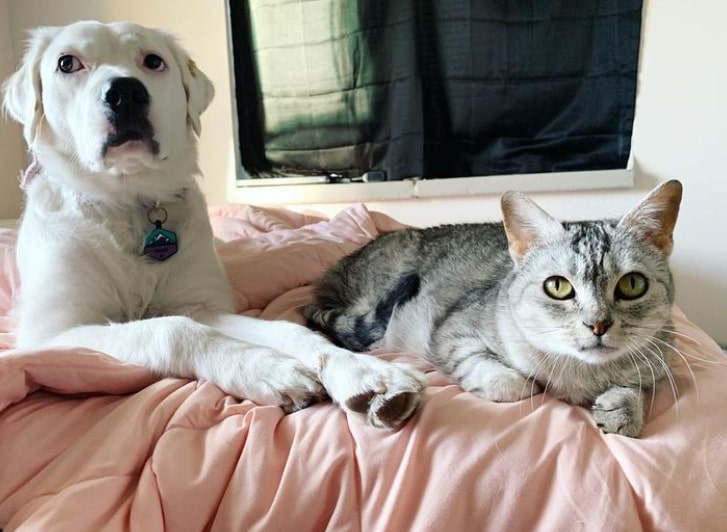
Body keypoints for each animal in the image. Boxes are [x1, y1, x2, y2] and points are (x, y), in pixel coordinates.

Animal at [1, 20, 420, 428]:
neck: (128, 203)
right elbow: (172, 328)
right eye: (67, 63)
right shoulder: (55, 334)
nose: (125, 93)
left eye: (153, 61)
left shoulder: (201, 305)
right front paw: (269, 369)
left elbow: (291, 330)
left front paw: (363, 371)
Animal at [306, 179, 684, 436]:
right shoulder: (451, 334)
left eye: (632, 285)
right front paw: (530, 384)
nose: (598, 325)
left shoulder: (656, 359)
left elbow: (640, 386)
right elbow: (510, 382)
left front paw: (623, 409)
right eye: (558, 287)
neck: (581, 374)